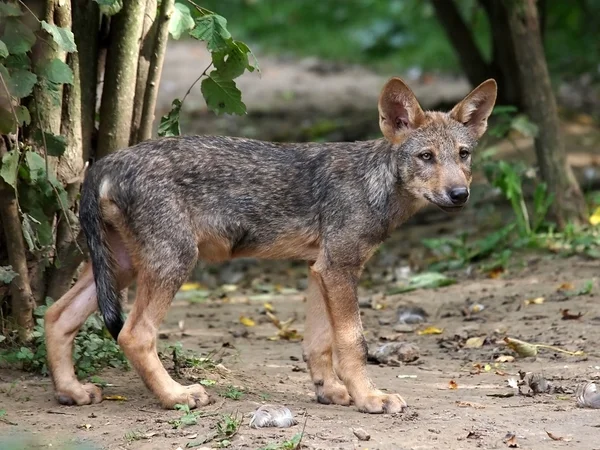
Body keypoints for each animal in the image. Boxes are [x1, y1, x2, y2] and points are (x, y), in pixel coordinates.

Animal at [44, 75, 496, 414]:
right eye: (426, 157)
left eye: (463, 154)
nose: (460, 195)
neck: (374, 184)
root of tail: (108, 161)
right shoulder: (340, 269)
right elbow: (353, 342)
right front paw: (370, 398)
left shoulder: (320, 269)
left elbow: (319, 344)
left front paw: (330, 391)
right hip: (172, 262)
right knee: (134, 335)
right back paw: (177, 396)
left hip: (119, 267)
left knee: (56, 316)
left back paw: (71, 392)